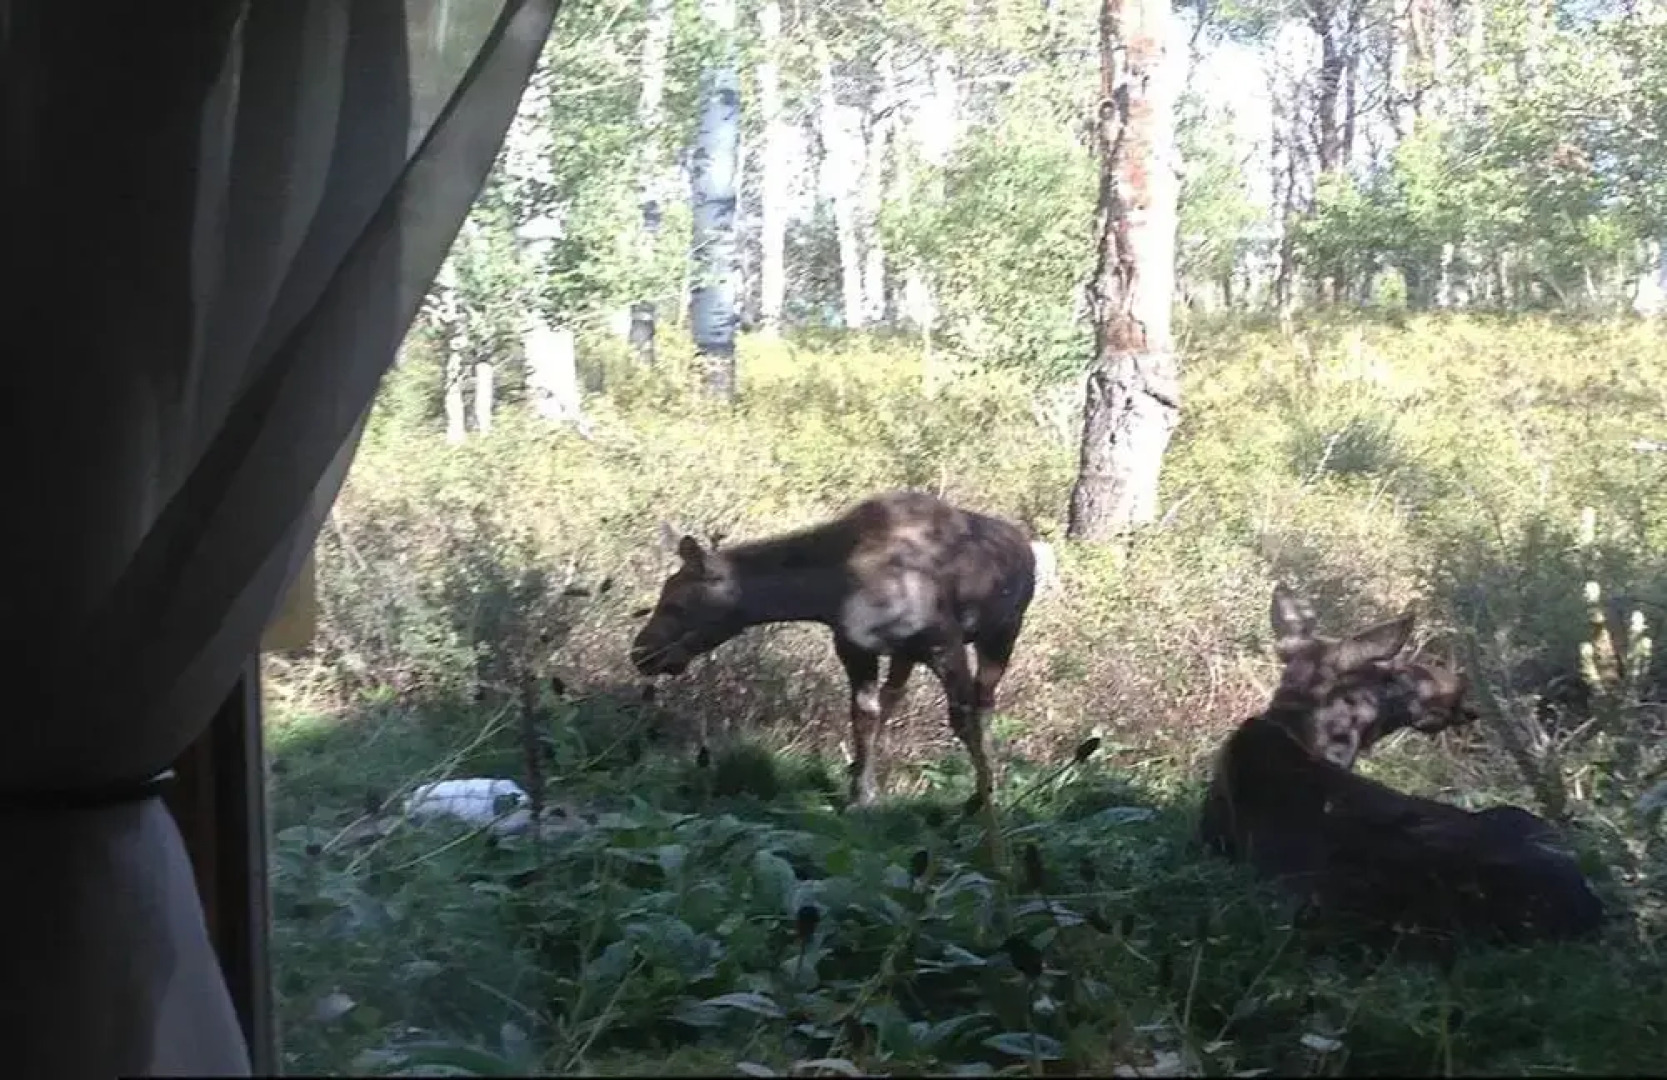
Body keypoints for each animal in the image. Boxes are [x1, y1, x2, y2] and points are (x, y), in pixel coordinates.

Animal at [629, 490, 1041, 830]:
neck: (834, 589)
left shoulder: (944, 643)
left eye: (677, 604)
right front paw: (861, 795)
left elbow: (964, 721)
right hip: (905, 655)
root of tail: (1028, 546)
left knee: (984, 703)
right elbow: (864, 716)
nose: (641, 652)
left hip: (1002, 632)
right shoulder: (855, 648)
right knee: (894, 700)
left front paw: (983, 802)